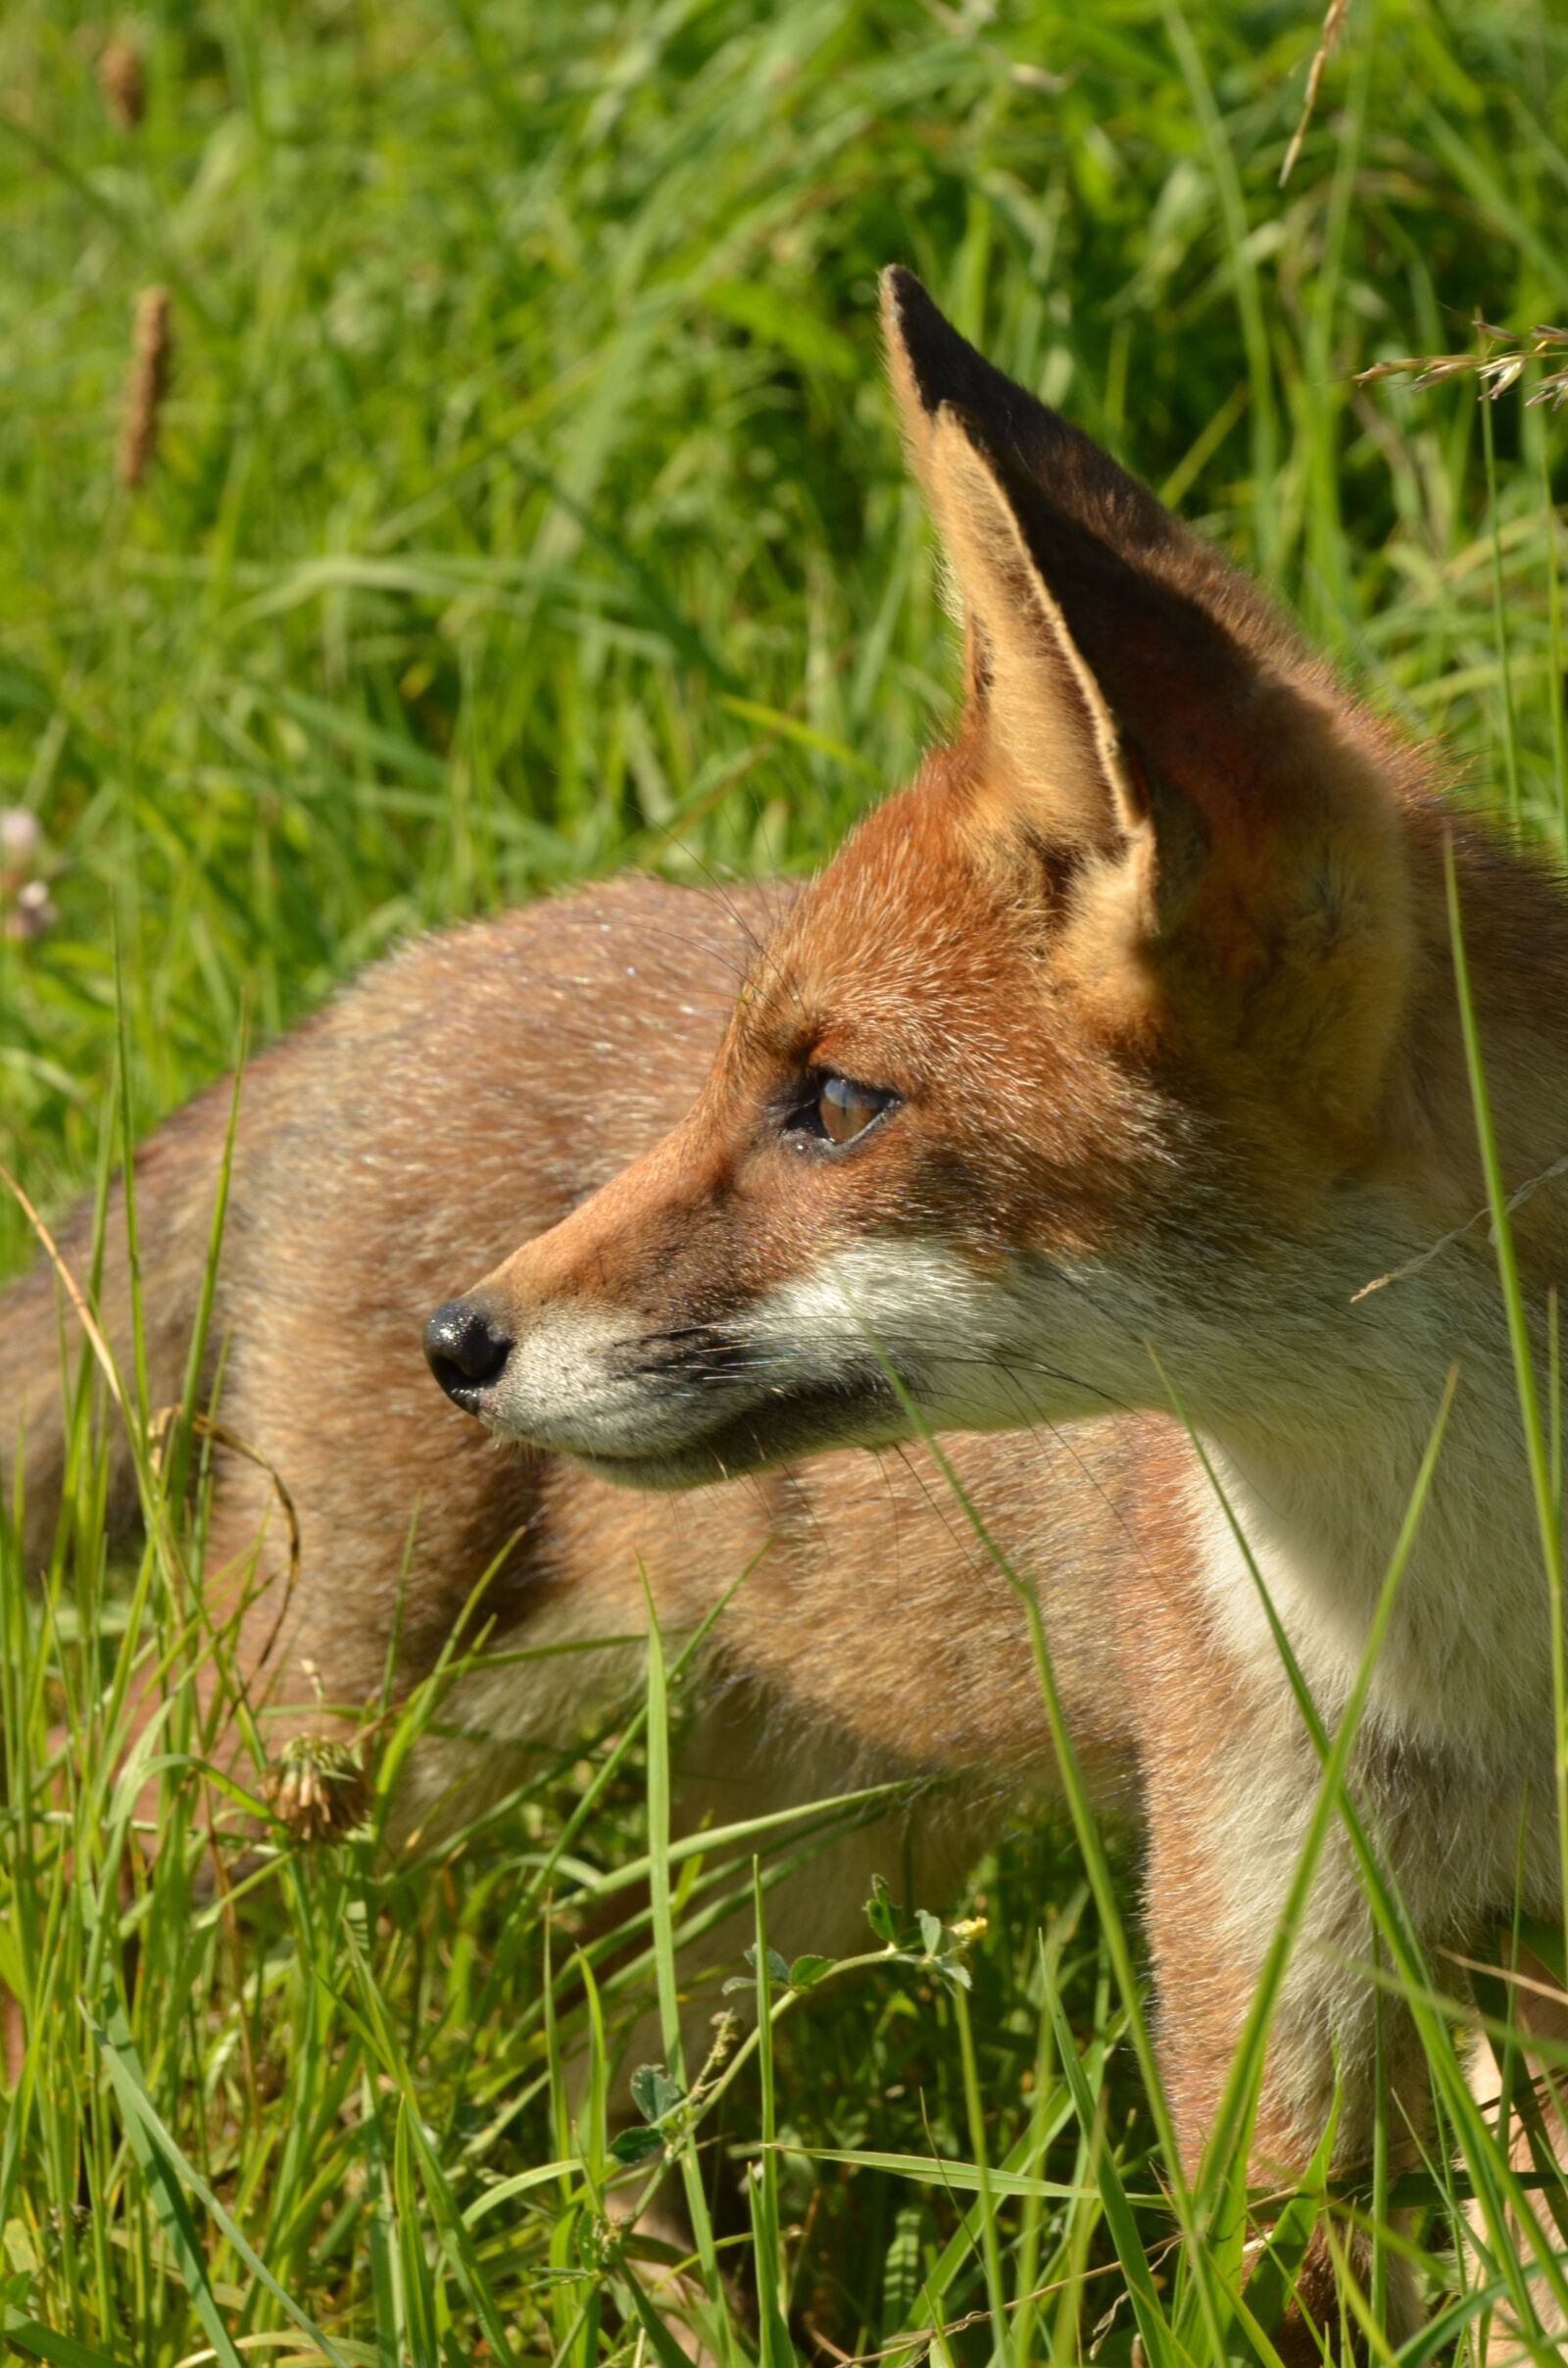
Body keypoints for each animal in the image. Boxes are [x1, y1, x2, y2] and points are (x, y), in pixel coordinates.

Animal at [6, 266, 1568, 2355]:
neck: (1489, 1620)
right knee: (91, 1900)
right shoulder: (1270, 1995)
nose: (460, 1341)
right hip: (330, 1735)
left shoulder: (1501, 1978)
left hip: (821, 1827)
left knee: (589, 2040)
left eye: (833, 1099)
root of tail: (386, 982)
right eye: (755, 1084)